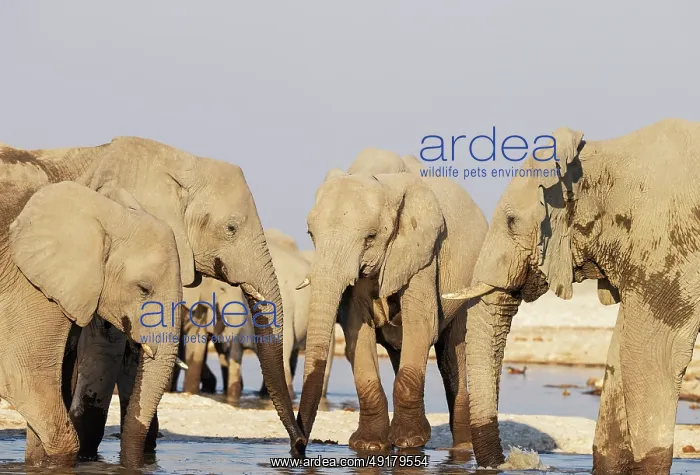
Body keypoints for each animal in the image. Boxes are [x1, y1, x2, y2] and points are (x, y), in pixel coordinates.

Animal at [295, 168, 488, 452]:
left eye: (371, 237)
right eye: (310, 234)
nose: (299, 444)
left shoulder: (423, 256)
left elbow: (421, 326)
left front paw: (410, 441)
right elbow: (357, 333)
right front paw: (369, 445)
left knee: (452, 354)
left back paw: (462, 449)